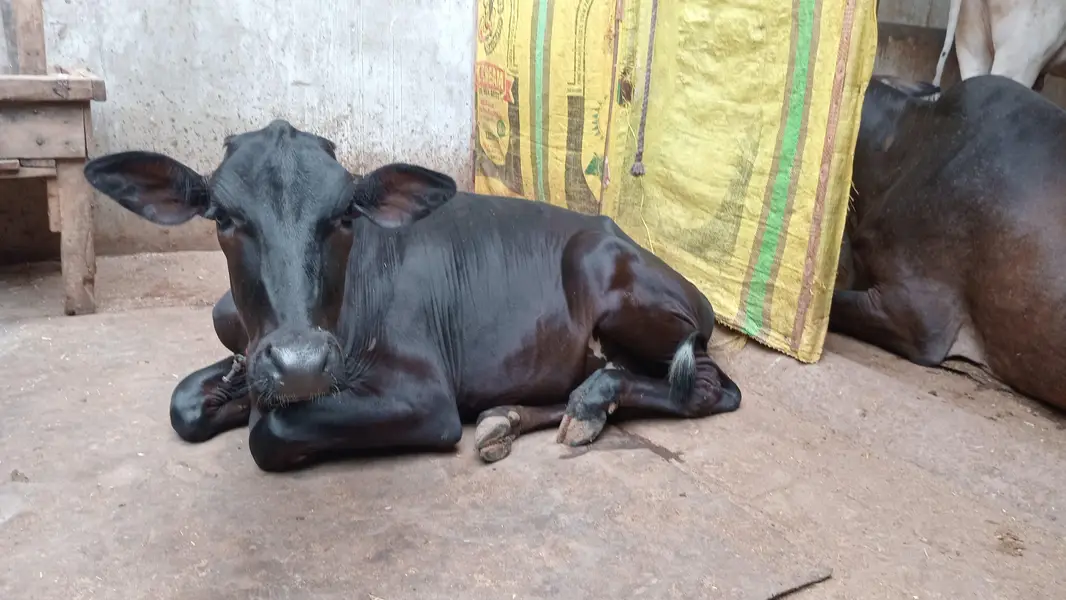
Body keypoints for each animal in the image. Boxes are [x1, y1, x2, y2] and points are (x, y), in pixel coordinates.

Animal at [82, 120, 742, 472]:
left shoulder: (425, 396)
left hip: (610, 277)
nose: (300, 363)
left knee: (709, 387)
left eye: (345, 215)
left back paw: (587, 405)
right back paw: (514, 416)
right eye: (223, 217)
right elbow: (185, 404)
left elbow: (269, 433)